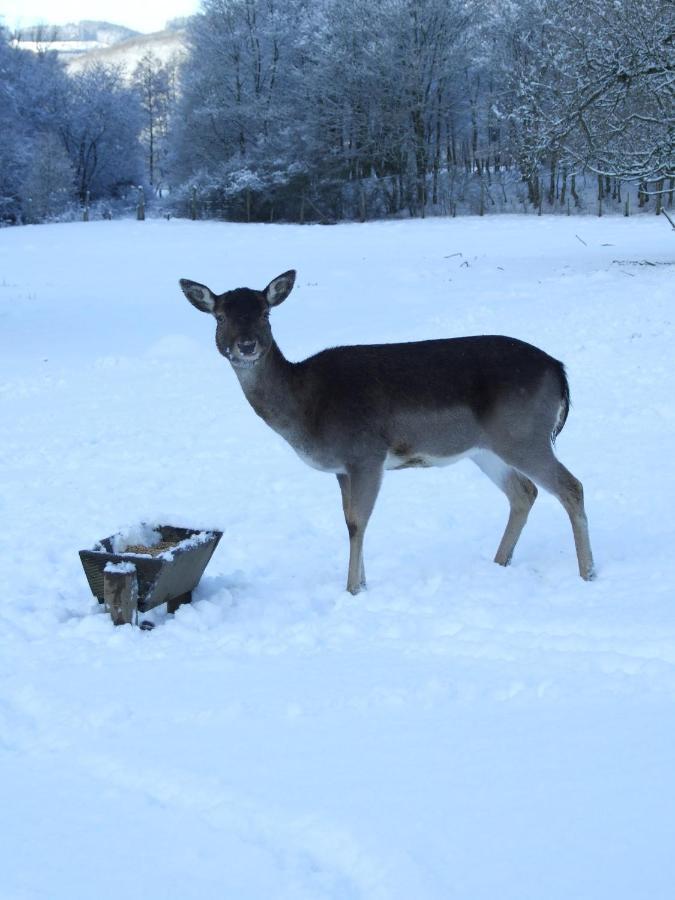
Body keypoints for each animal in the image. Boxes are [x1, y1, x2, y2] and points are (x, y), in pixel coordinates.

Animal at [181, 270, 596, 596]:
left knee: (571, 486)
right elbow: (348, 519)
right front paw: (361, 585)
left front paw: (352, 590)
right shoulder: (343, 468)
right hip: (486, 449)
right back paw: (499, 563)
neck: (307, 411)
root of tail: (559, 370)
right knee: (524, 493)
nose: (246, 345)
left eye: (266, 312)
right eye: (219, 316)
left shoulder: (366, 453)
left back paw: (587, 573)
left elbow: (357, 522)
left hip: (523, 434)